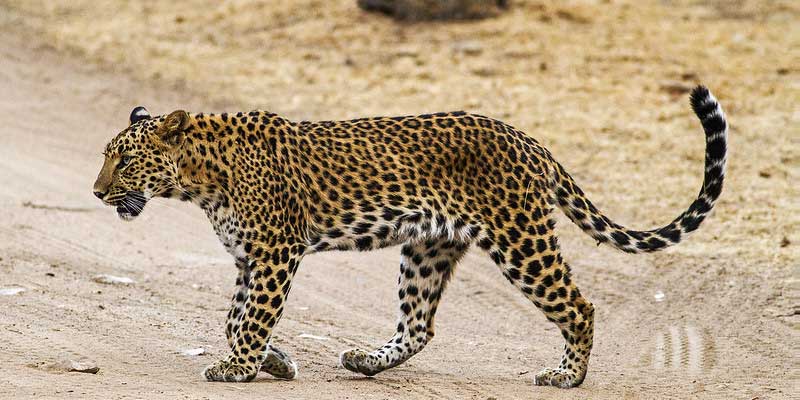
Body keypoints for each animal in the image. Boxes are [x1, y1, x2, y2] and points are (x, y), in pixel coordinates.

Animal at [92, 86, 727, 388]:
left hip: (520, 239)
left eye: (124, 160)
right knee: (419, 324)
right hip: (429, 247)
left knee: (578, 304)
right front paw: (275, 361)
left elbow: (249, 318)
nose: (97, 193)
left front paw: (241, 369)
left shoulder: (274, 251)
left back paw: (567, 376)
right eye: (107, 156)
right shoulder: (251, 258)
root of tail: (528, 139)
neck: (199, 179)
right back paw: (367, 360)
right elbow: (235, 317)